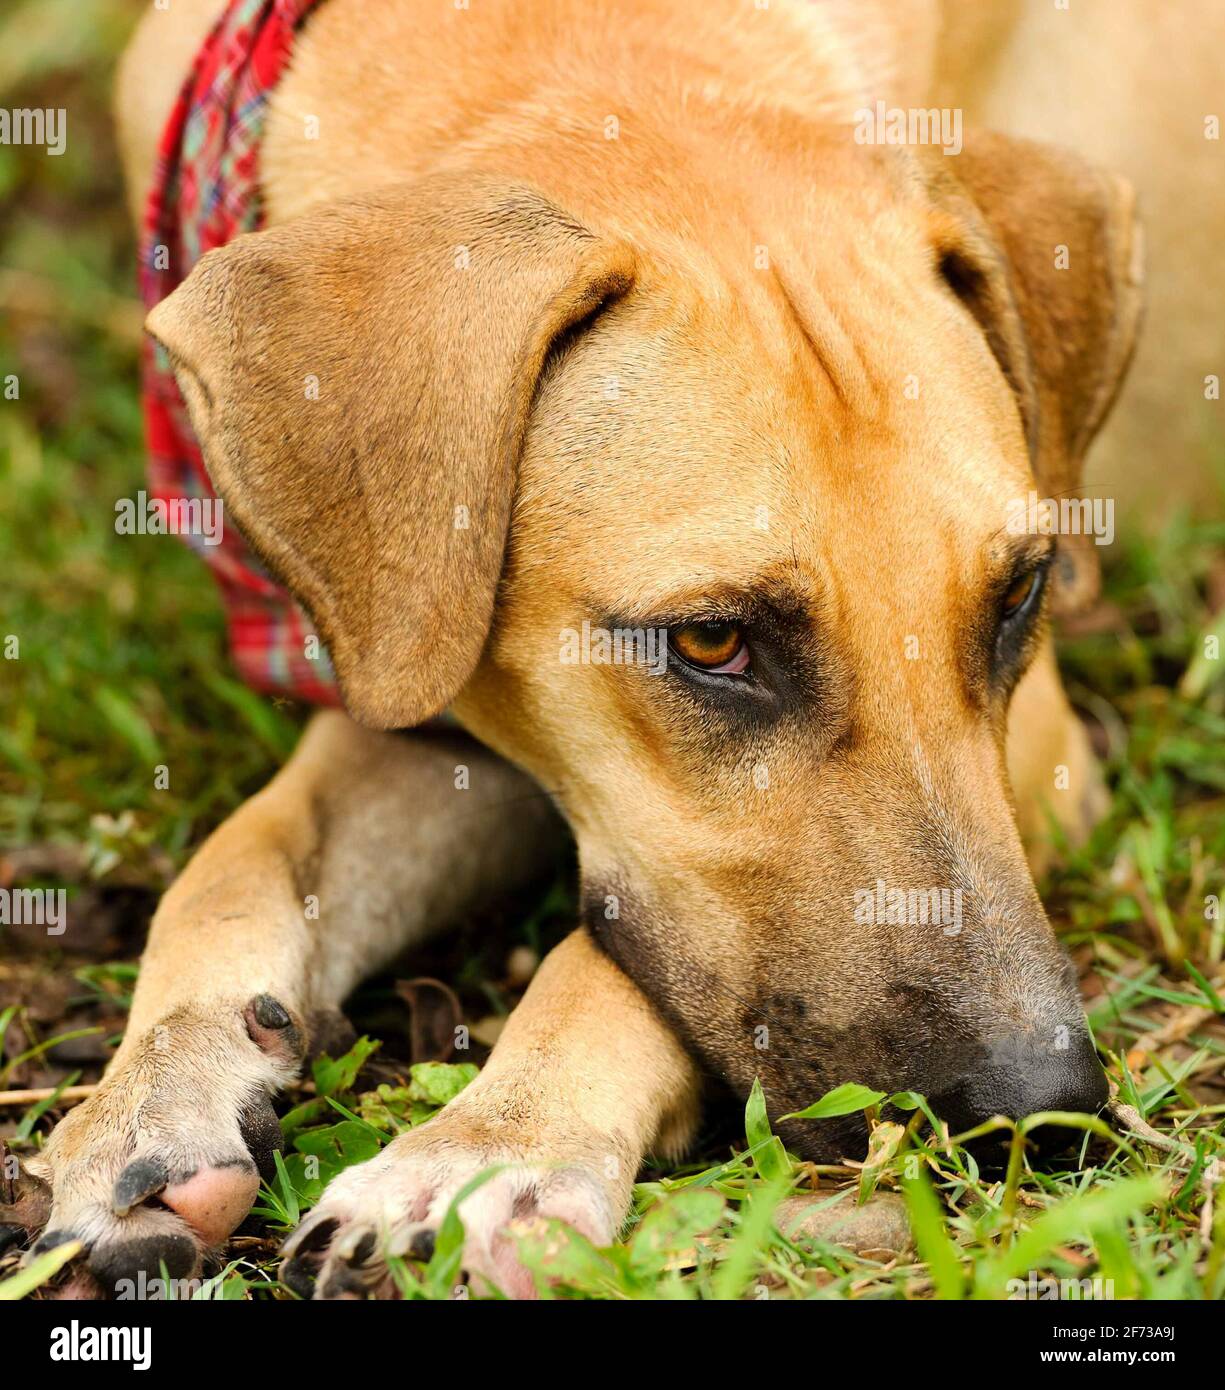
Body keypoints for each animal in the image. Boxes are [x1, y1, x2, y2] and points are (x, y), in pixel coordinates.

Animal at [23, 2, 1201, 1301]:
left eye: (1019, 593)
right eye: (712, 640)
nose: (1037, 1109)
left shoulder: (1041, 749)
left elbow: (603, 960)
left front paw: (489, 1150)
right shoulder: (417, 678)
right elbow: (237, 860)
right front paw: (152, 1091)